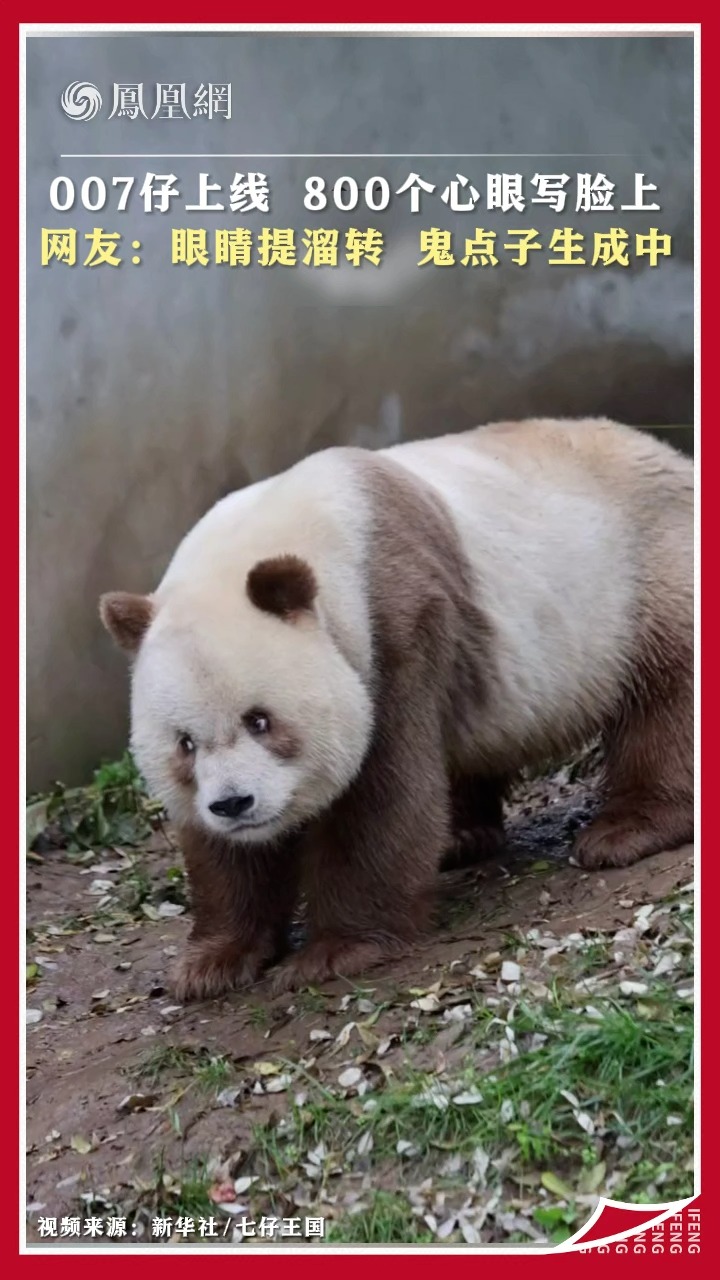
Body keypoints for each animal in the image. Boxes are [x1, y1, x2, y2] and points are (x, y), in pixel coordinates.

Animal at [100, 418, 693, 1000]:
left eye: (260, 720)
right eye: (185, 743)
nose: (234, 803)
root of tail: (666, 452)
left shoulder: (396, 622)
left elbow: (381, 791)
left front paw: (334, 952)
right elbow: (226, 854)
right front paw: (212, 963)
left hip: (642, 572)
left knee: (667, 699)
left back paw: (626, 830)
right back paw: (462, 838)